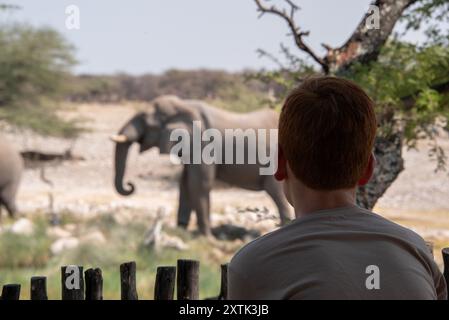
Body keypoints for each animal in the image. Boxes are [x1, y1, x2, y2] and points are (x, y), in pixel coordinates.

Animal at [112, 95, 290, 235]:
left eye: (145, 120)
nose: (130, 185)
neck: (183, 105)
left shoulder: (204, 145)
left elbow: (199, 183)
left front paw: (206, 237)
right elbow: (185, 183)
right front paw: (181, 231)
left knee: (278, 195)